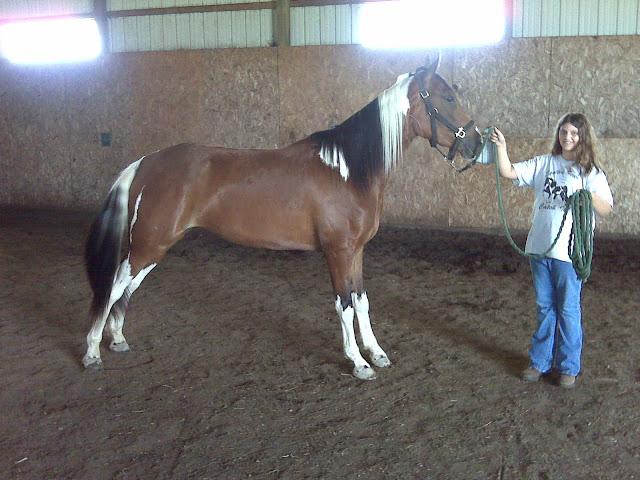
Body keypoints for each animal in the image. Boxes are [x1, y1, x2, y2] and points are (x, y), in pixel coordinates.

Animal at [82, 58, 483, 380]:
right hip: (150, 243)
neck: (349, 170)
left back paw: (117, 339)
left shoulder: (356, 251)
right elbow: (344, 305)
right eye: (448, 97)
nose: (477, 144)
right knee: (113, 286)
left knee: (125, 288)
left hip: (154, 247)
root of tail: (146, 163)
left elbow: (362, 300)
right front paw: (358, 363)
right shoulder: (337, 252)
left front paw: (377, 353)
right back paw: (91, 352)